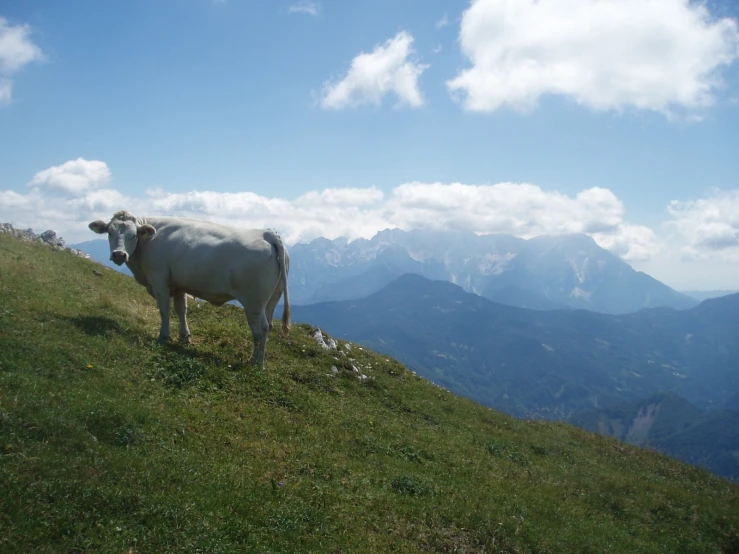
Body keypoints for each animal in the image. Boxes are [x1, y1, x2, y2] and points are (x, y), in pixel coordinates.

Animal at [88, 209, 290, 364]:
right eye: (109, 233)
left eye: (133, 235)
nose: (119, 254)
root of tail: (266, 233)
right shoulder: (178, 284)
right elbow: (181, 310)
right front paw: (184, 336)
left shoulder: (159, 280)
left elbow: (164, 310)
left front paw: (164, 336)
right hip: (272, 299)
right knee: (269, 325)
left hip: (253, 301)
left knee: (260, 329)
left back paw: (256, 363)